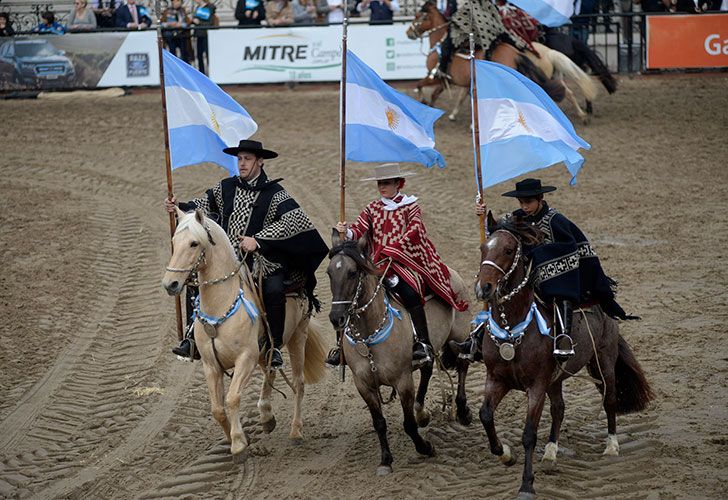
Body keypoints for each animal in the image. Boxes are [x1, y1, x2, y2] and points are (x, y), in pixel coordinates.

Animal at [164, 209, 328, 458]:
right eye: (174, 242)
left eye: (194, 243)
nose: (170, 284)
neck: (222, 305)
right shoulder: (211, 365)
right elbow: (217, 409)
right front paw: (235, 438)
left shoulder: (245, 359)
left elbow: (232, 399)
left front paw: (239, 443)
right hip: (265, 351)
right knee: (271, 372)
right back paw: (266, 416)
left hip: (298, 336)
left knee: (298, 383)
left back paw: (296, 431)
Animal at [328, 232, 472, 474]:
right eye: (329, 272)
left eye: (352, 272)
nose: (336, 317)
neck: (369, 335)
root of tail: (451, 273)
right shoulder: (364, 385)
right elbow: (379, 423)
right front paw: (385, 460)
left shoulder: (403, 381)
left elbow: (408, 424)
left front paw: (425, 448)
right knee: (427, 368)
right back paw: (422, 412)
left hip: (459, 337)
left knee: (462, 367)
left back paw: (462, 411)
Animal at [472, 221, 656, 498]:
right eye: (484, 248)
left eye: (508, 250)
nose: (484, 288)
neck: (513, 331)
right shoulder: (497, 379)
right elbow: (485, 415)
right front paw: (505, 454)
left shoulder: (536, 385)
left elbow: (529, 433)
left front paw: (527, 485)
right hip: (555, 379)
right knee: (559, 408)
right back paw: (550, 453)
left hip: (604, 361)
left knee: (609, 400)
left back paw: (611, 446)